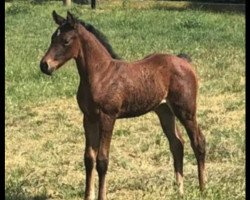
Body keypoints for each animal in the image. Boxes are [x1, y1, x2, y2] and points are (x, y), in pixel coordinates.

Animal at [40, 11, 206, 200]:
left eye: (66, 41)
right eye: (52, 38)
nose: (44, 65)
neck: (101, 74)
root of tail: (183, 61)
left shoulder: (108, 117)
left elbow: (102, 160)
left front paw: (101, 196)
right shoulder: (88, 118)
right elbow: (89, 158)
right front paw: (88, 196)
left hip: (186, 110)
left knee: (198, 141)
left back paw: (202, 188)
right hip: (164, 110)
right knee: (177, 144)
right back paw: (179, 190)